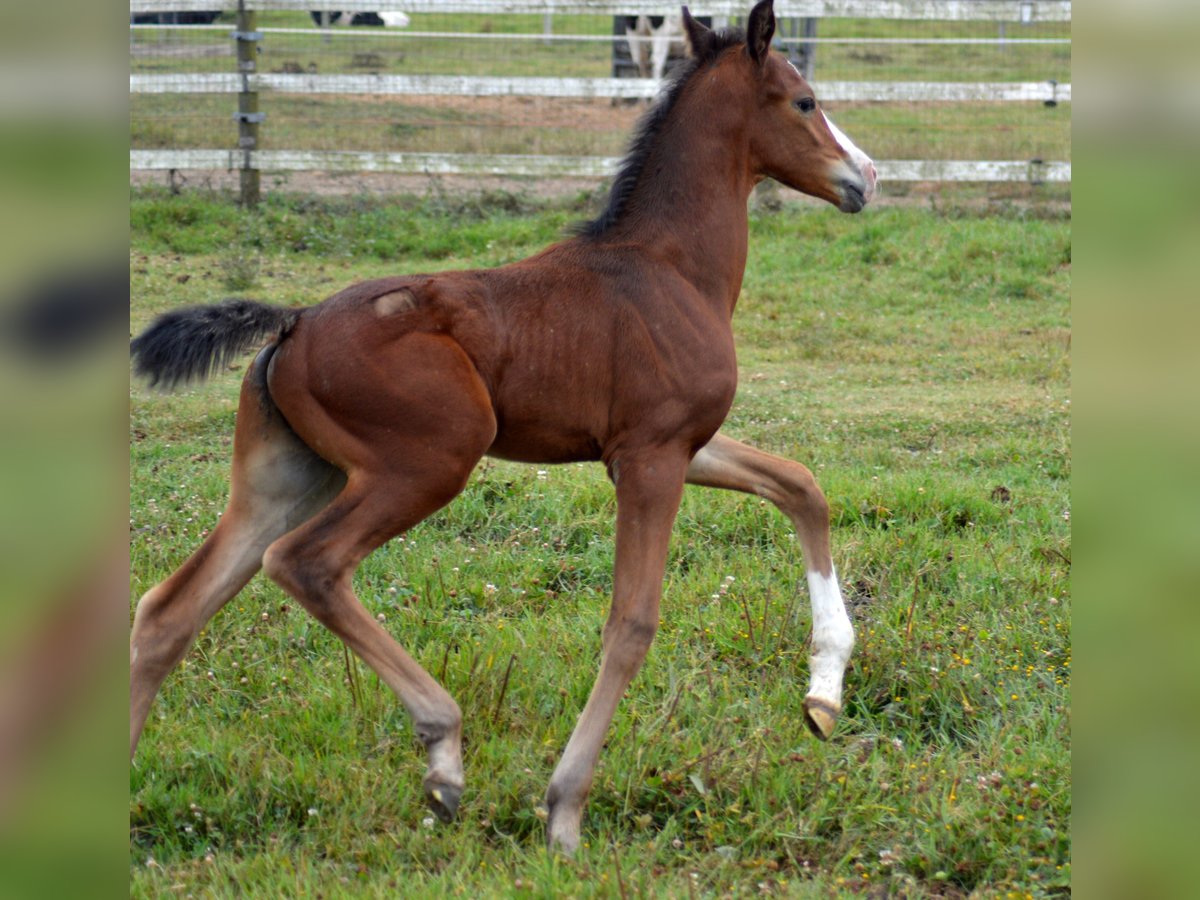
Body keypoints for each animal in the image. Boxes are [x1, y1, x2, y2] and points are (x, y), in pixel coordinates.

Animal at [131, 3, 878, 854]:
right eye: (805, 101)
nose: (865, 178)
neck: (670, 267)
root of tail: (292, 323)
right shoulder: (650, 457)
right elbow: (632, 623)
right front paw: (565, 812)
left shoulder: (681, 444)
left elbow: (801, 486)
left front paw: (824, 696)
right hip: (427, 462)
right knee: (305, 563)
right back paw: (444, 754)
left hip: (286, 478)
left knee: (167, 612)